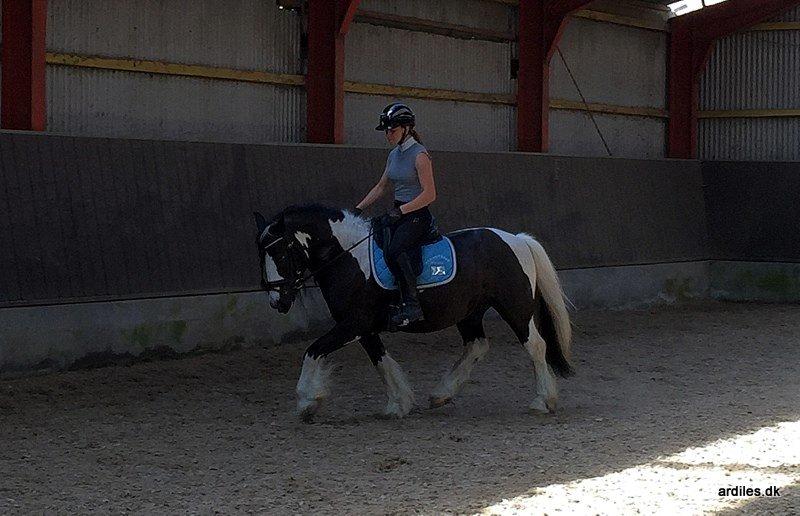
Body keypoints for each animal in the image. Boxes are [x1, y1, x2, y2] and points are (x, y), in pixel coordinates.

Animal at [253, 203, 572, 420]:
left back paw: (543, 401)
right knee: (477, 346)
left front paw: (307, 401)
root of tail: (516, 239)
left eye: (279, 253)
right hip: (469, 312)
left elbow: (313, 350)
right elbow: (381, 362)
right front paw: (398, 403)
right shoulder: (363, 328)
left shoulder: (354, 324)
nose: (277, 302)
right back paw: (441, 394)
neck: (349, 258)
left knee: (535, 345)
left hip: (515, 307)